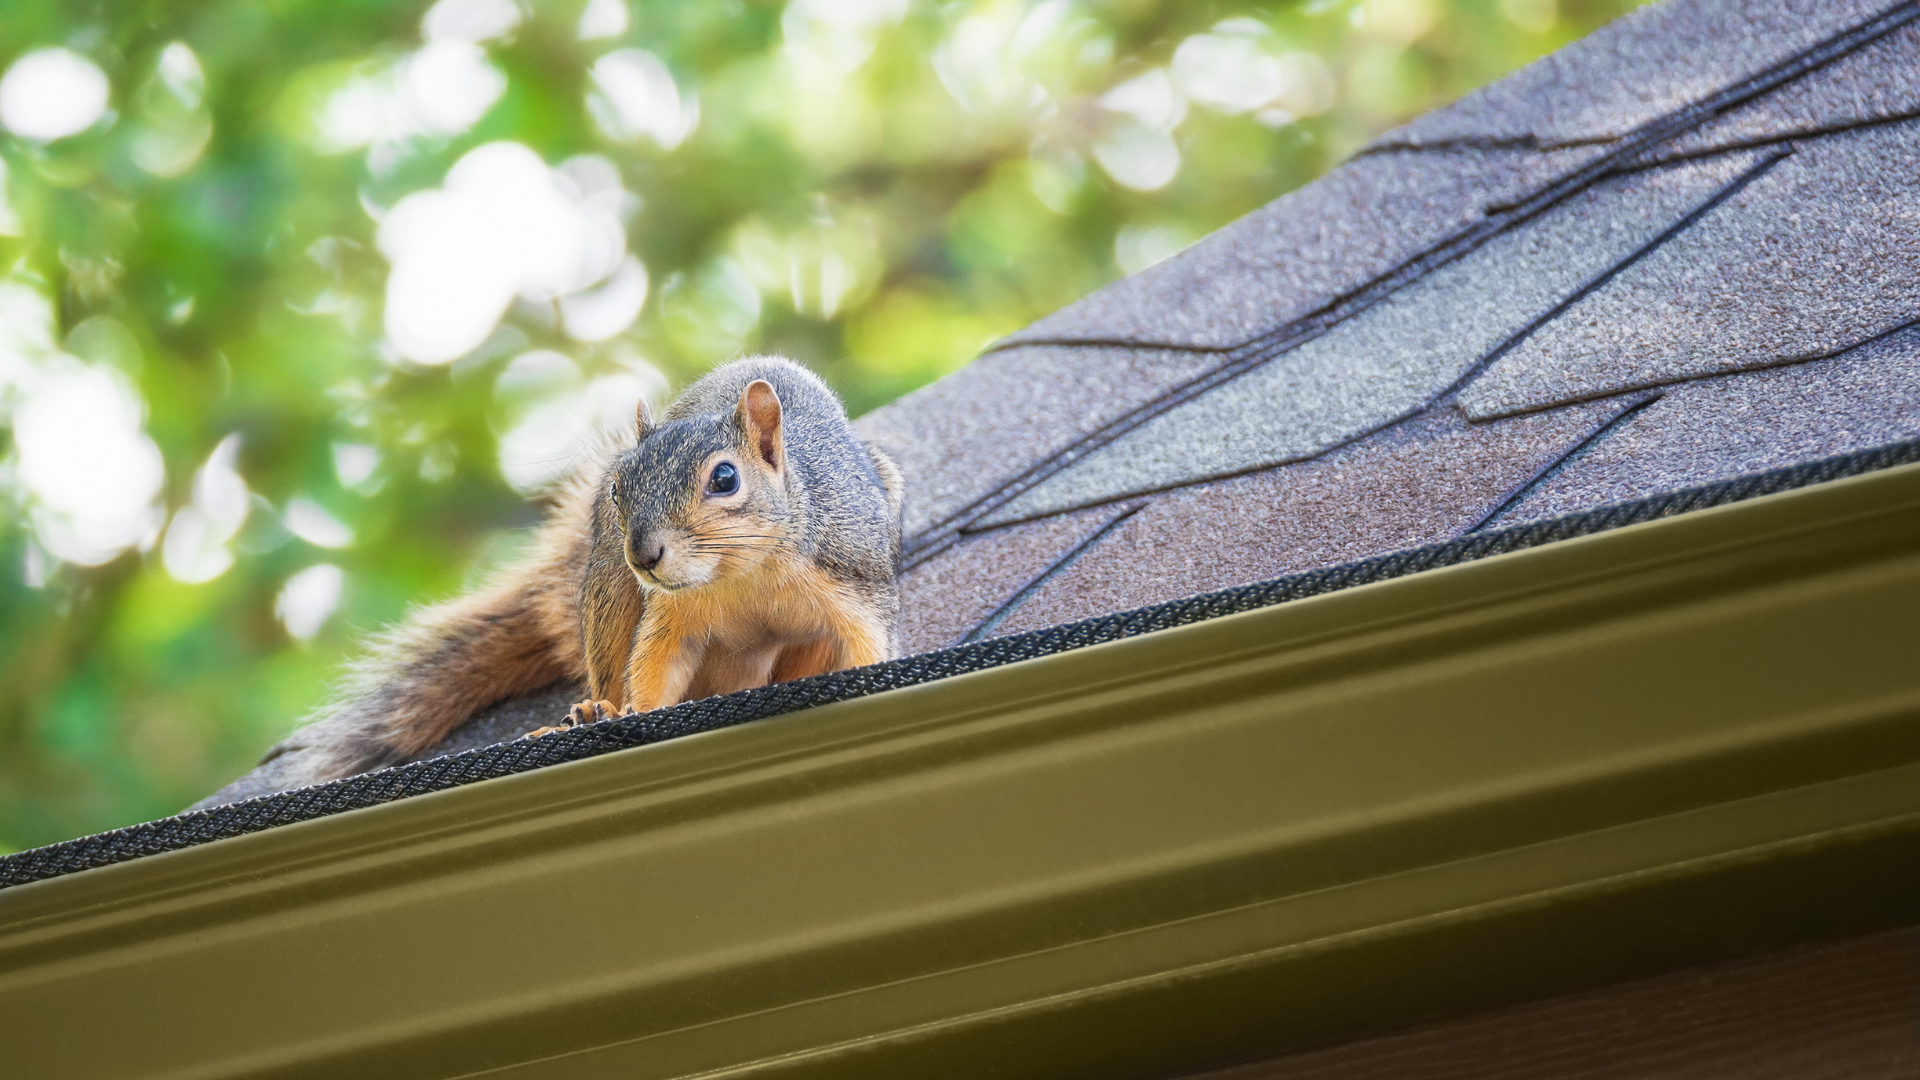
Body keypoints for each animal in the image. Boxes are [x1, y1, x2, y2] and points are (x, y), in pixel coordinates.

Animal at [267, 356, 903, 786]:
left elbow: (869, 644)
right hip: (608, 592)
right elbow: (654, 668)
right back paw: (595, 709)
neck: (741, 575)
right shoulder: (670, 615)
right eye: (619, 487)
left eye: (725, 478)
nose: (644, 554)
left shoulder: (854, 583)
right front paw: (631, 713)